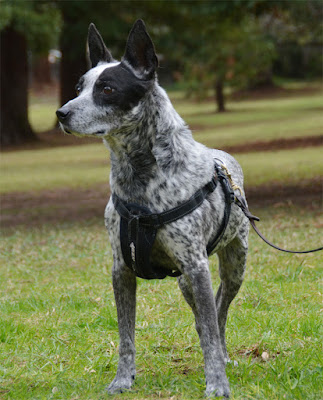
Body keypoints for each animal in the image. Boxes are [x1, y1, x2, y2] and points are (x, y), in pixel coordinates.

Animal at [57, 20, 251, 398]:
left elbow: (210, 330)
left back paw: (222, 356)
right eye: (78, 87)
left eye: (107, 89)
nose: (62, 113)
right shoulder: (121, 269)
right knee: (205, 317)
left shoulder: (197, 265)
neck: (139, 177)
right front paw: (122, 380)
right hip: (187, 283)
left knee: (219, 312)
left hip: (232, 265)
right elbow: (126, 336)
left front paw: (217, 383)